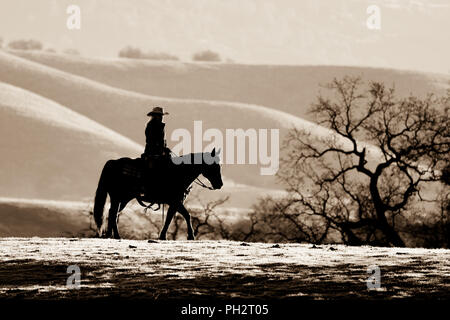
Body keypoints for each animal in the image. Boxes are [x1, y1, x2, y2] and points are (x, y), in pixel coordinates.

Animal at [92, 149, 223, 239]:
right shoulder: (175, 201)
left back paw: (110, 234)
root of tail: (113, 163)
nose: (220, 184)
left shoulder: (174, 203)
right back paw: (115, 235)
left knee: (113, 213)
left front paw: (163, 236)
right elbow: (186, 215)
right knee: (113, 214)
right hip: (117, 197)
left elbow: (170, 217)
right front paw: (190, 236)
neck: (179, 173)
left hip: (122, 199)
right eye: (214, 165)